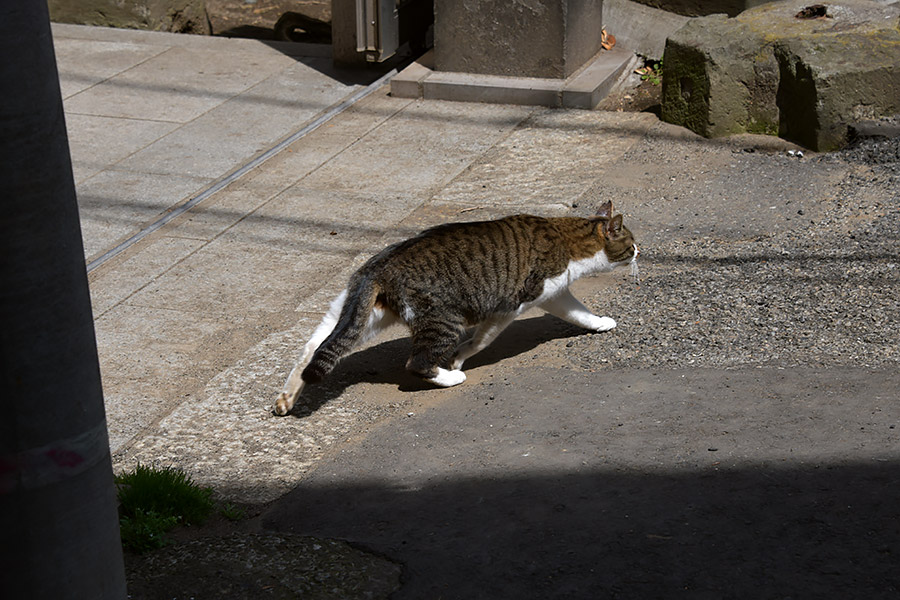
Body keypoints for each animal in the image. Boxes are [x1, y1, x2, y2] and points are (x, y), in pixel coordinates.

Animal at [274, 199, 632, 414]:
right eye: (631, 244)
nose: (640, 251)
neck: (569, 238)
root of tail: (380, 266)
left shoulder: (555, 296)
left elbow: (580, 313)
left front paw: (600, 323)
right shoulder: (512, 305)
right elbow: (481, 340)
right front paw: (459, 359)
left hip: (360, 315)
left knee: (315, 346)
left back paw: (287, 397)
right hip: (443, 319)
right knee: (416, 362)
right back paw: (449, 377)